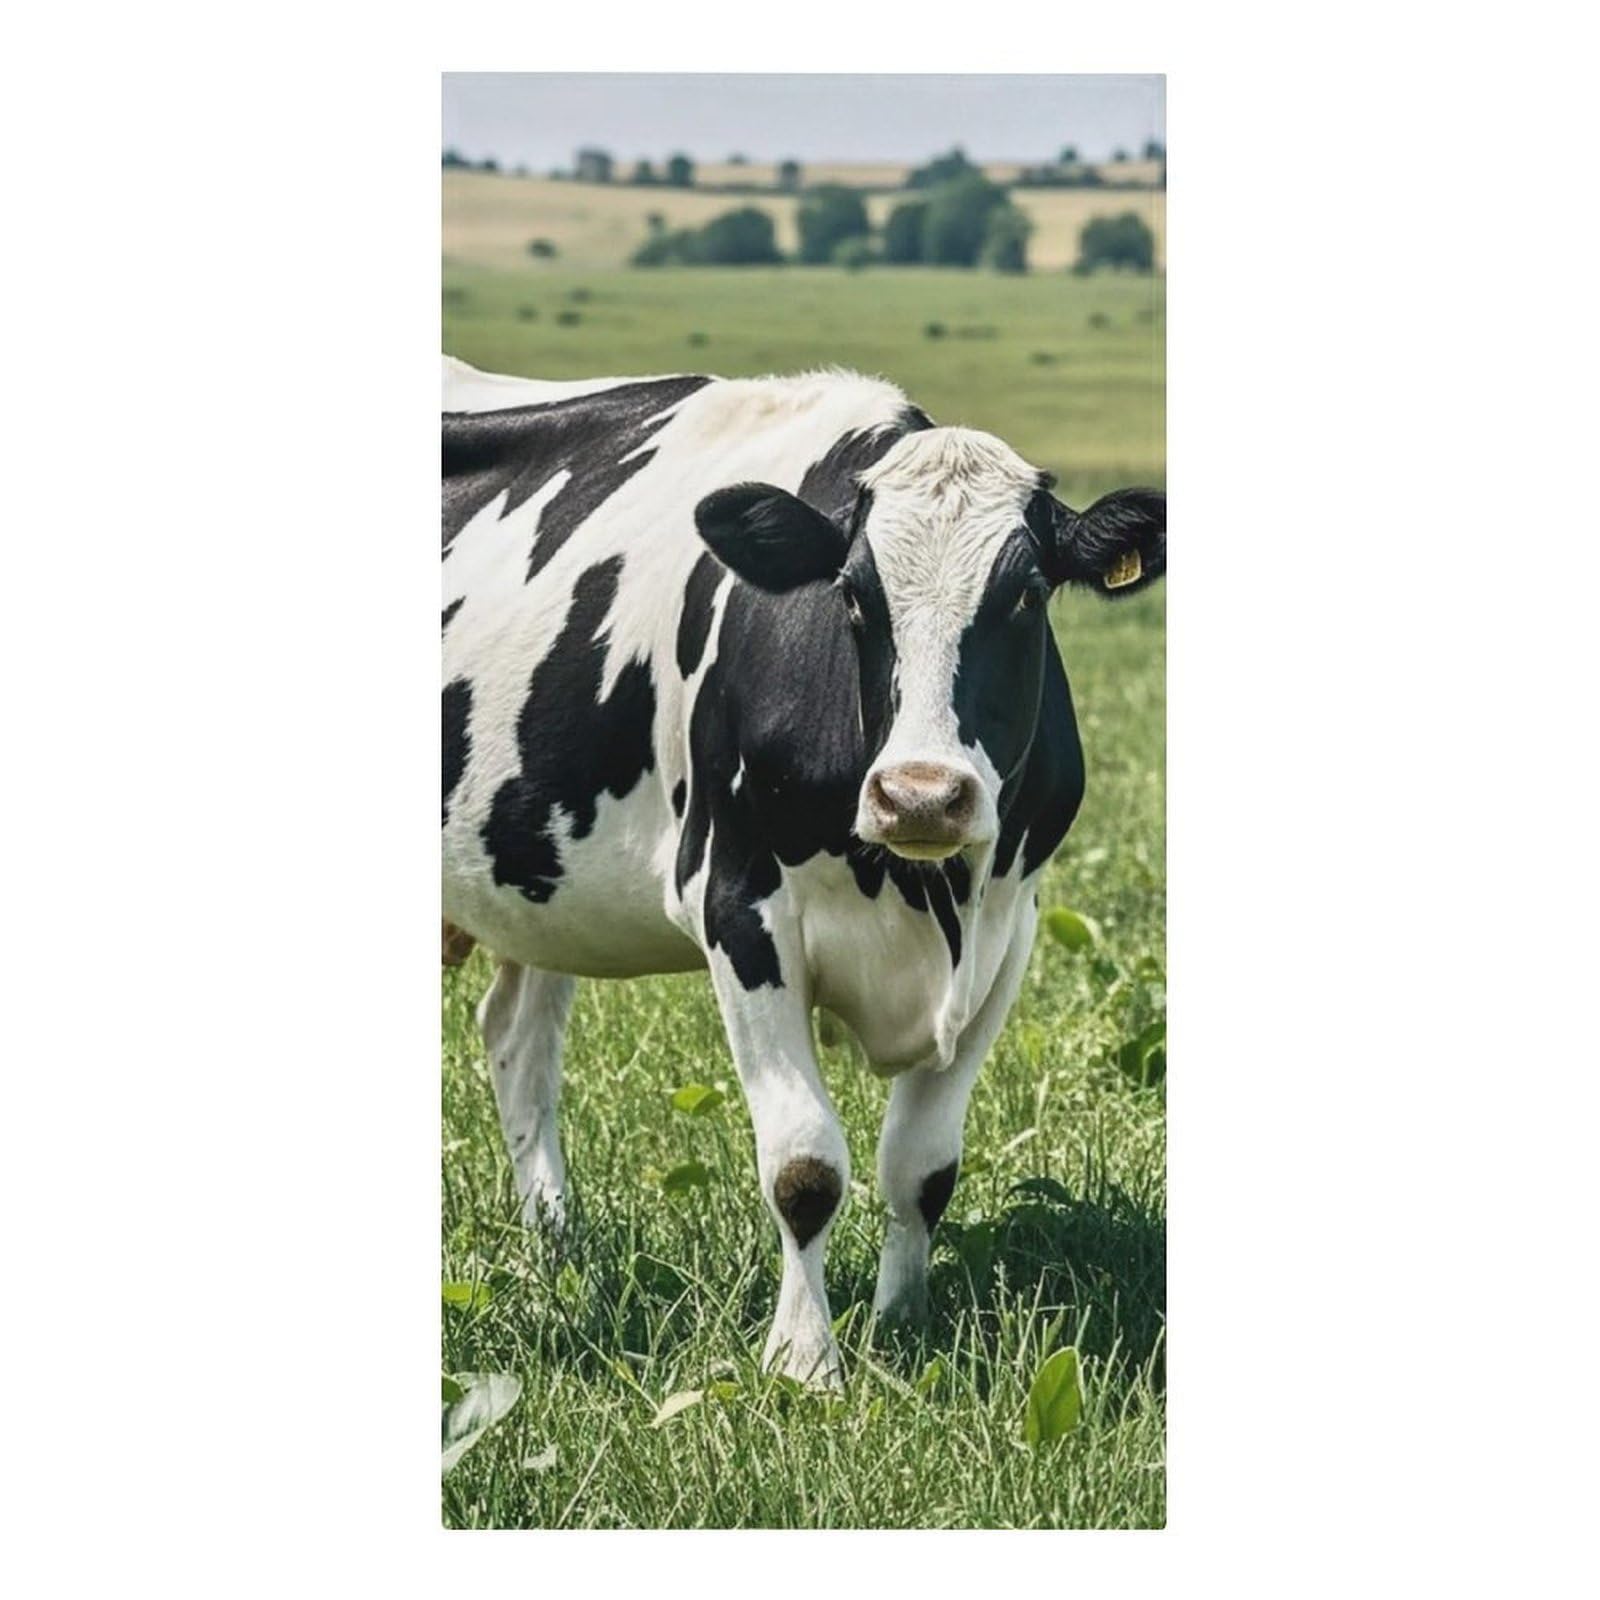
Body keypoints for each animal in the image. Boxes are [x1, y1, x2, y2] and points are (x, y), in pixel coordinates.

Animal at [442, 356, 1165, 1385]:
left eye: (1027, 594)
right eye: (854, 595)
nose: (920, 795)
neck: (924, 898)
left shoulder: (1010, 929)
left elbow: (923, 1165)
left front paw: (903, 1325)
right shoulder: (738, 907)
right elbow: (804, 1163)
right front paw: (805, 1360)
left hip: (542, 888)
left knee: (516, 1038)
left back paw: (554, 1250)